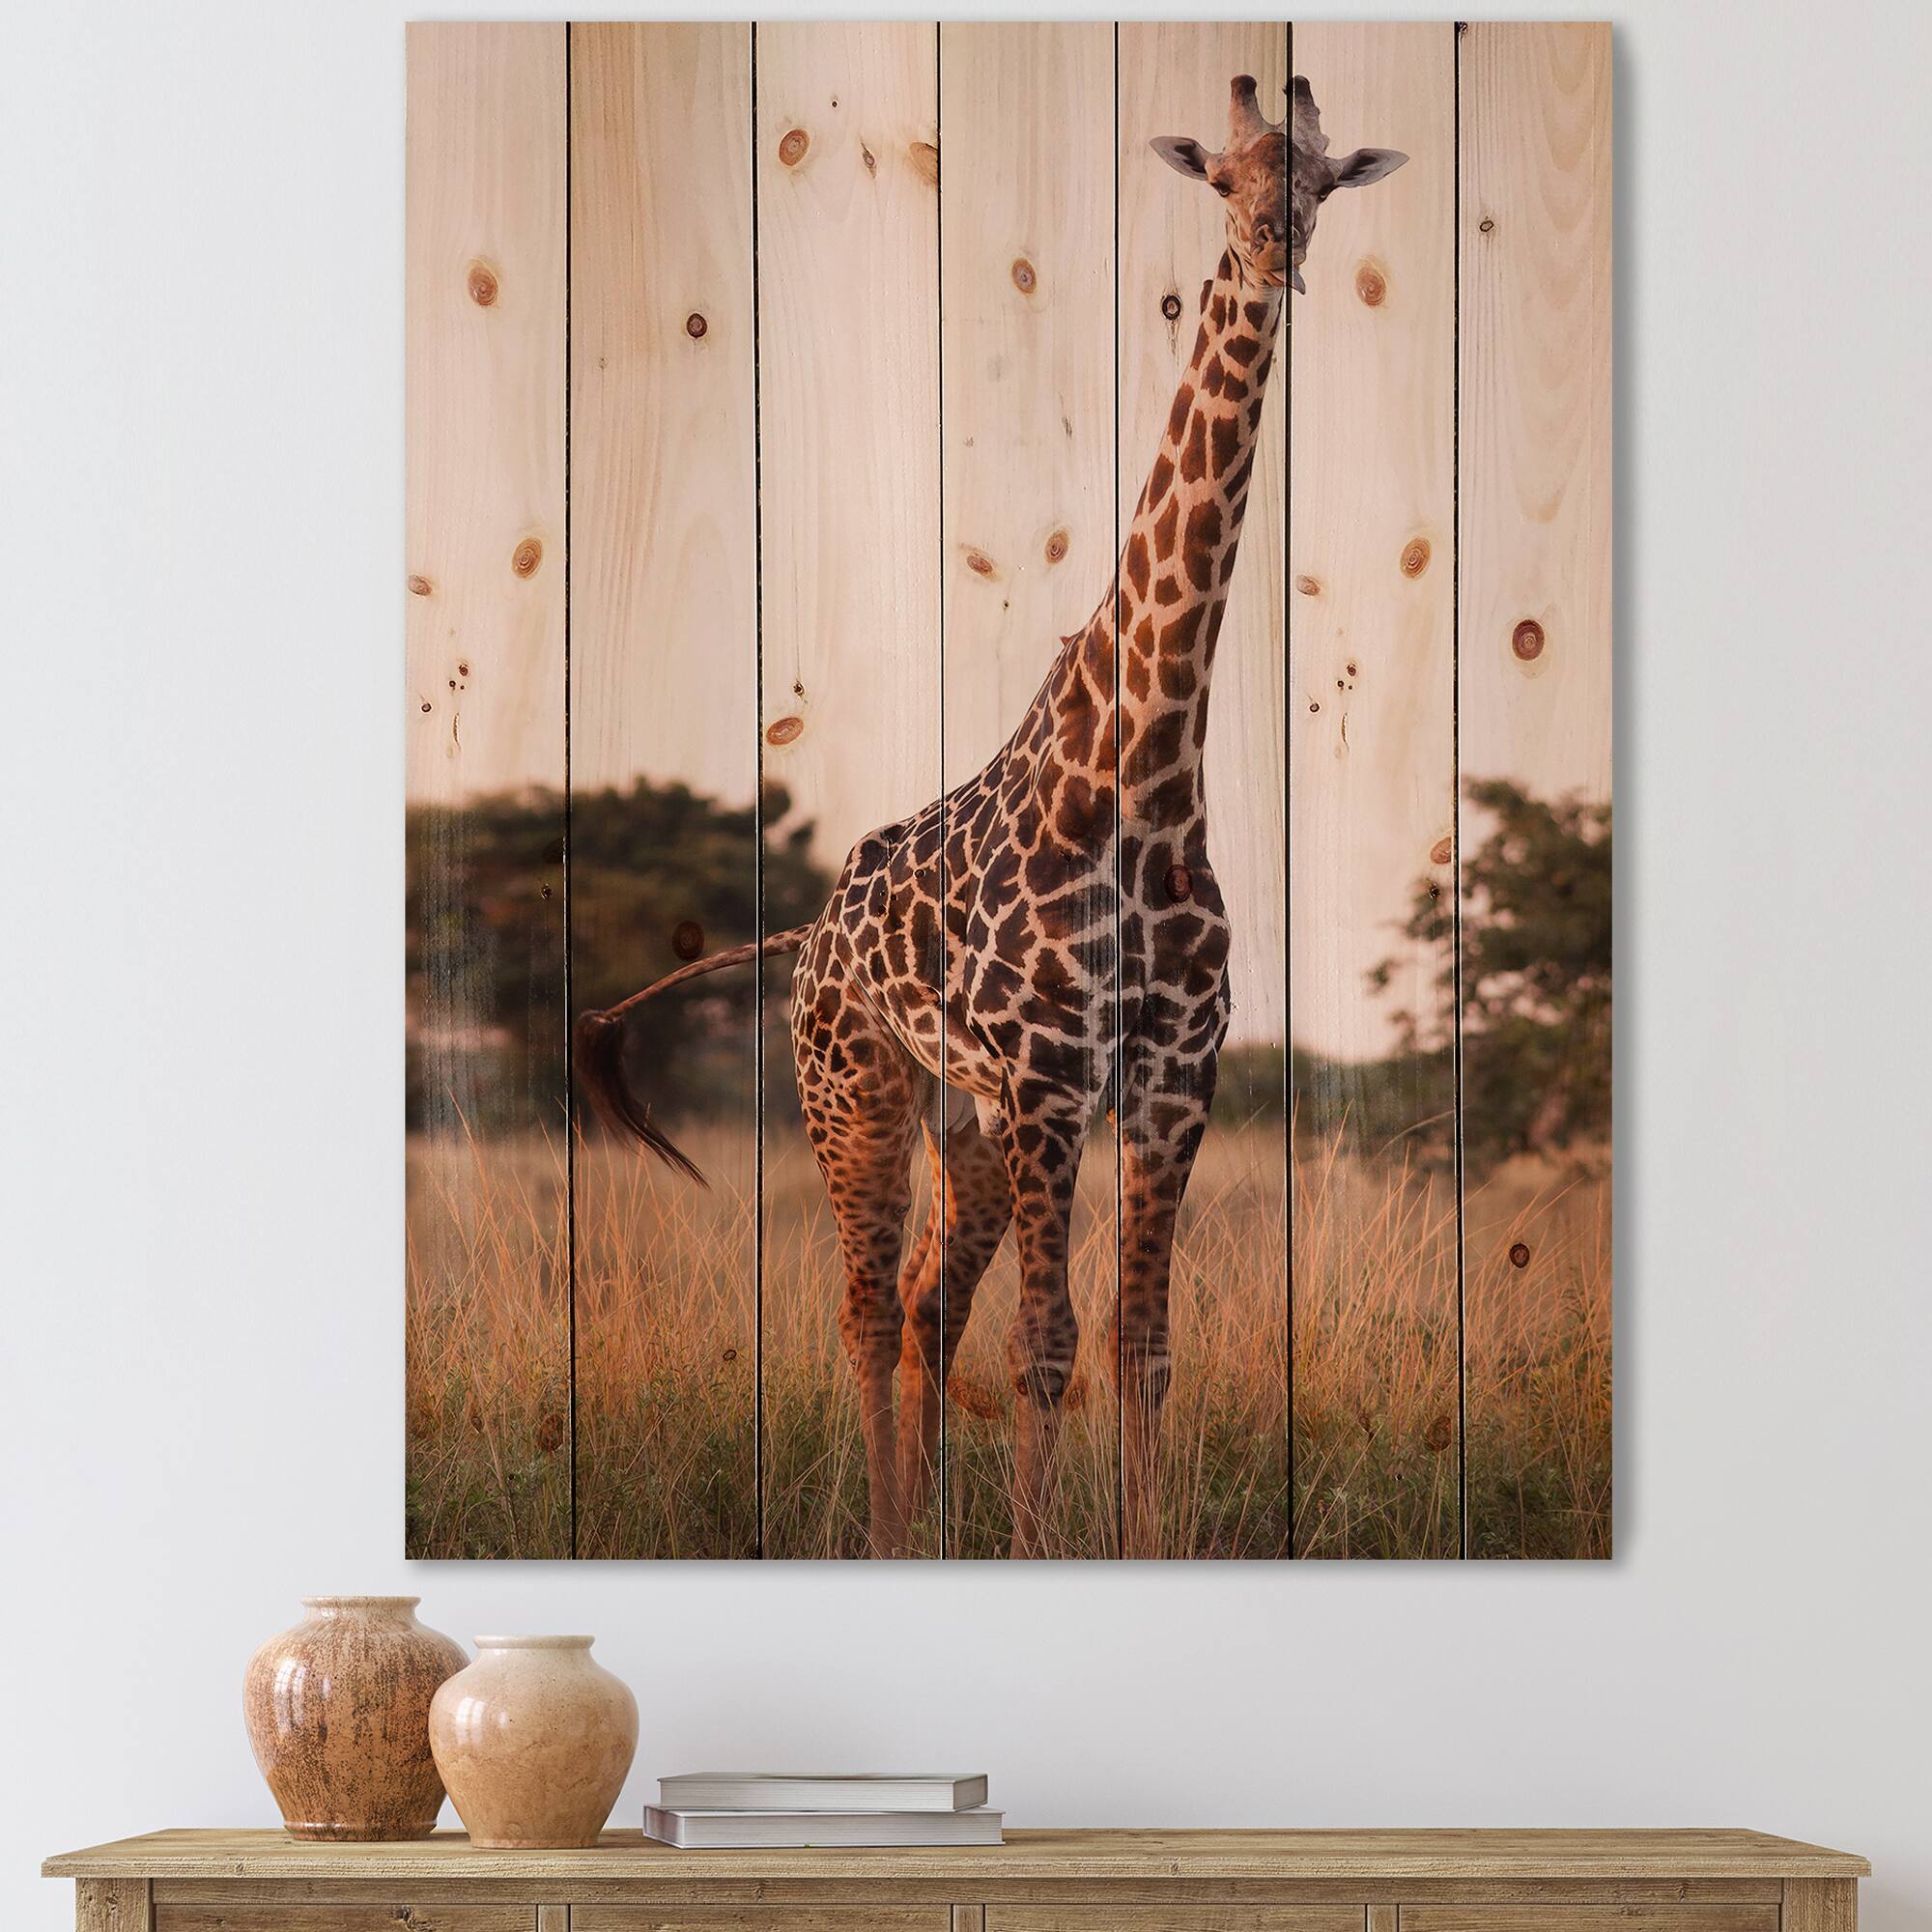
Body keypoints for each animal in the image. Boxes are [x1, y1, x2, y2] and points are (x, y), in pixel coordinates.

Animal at [576, 75, 1407, 1558]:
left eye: (1316, 181)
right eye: (1223, 180)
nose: (1273, 248)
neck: (1147, 773)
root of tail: (807, 936)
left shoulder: (1170, 1081)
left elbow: (1140, 1343)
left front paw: (1139, 1543)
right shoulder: (1049, 1079)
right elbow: (1047, 1344)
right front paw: (1032, 1543)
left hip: (959, 1120)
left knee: (923, 1304)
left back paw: (921, 1526)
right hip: (856, 1089)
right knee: (865, 1309)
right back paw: (889, 1534)